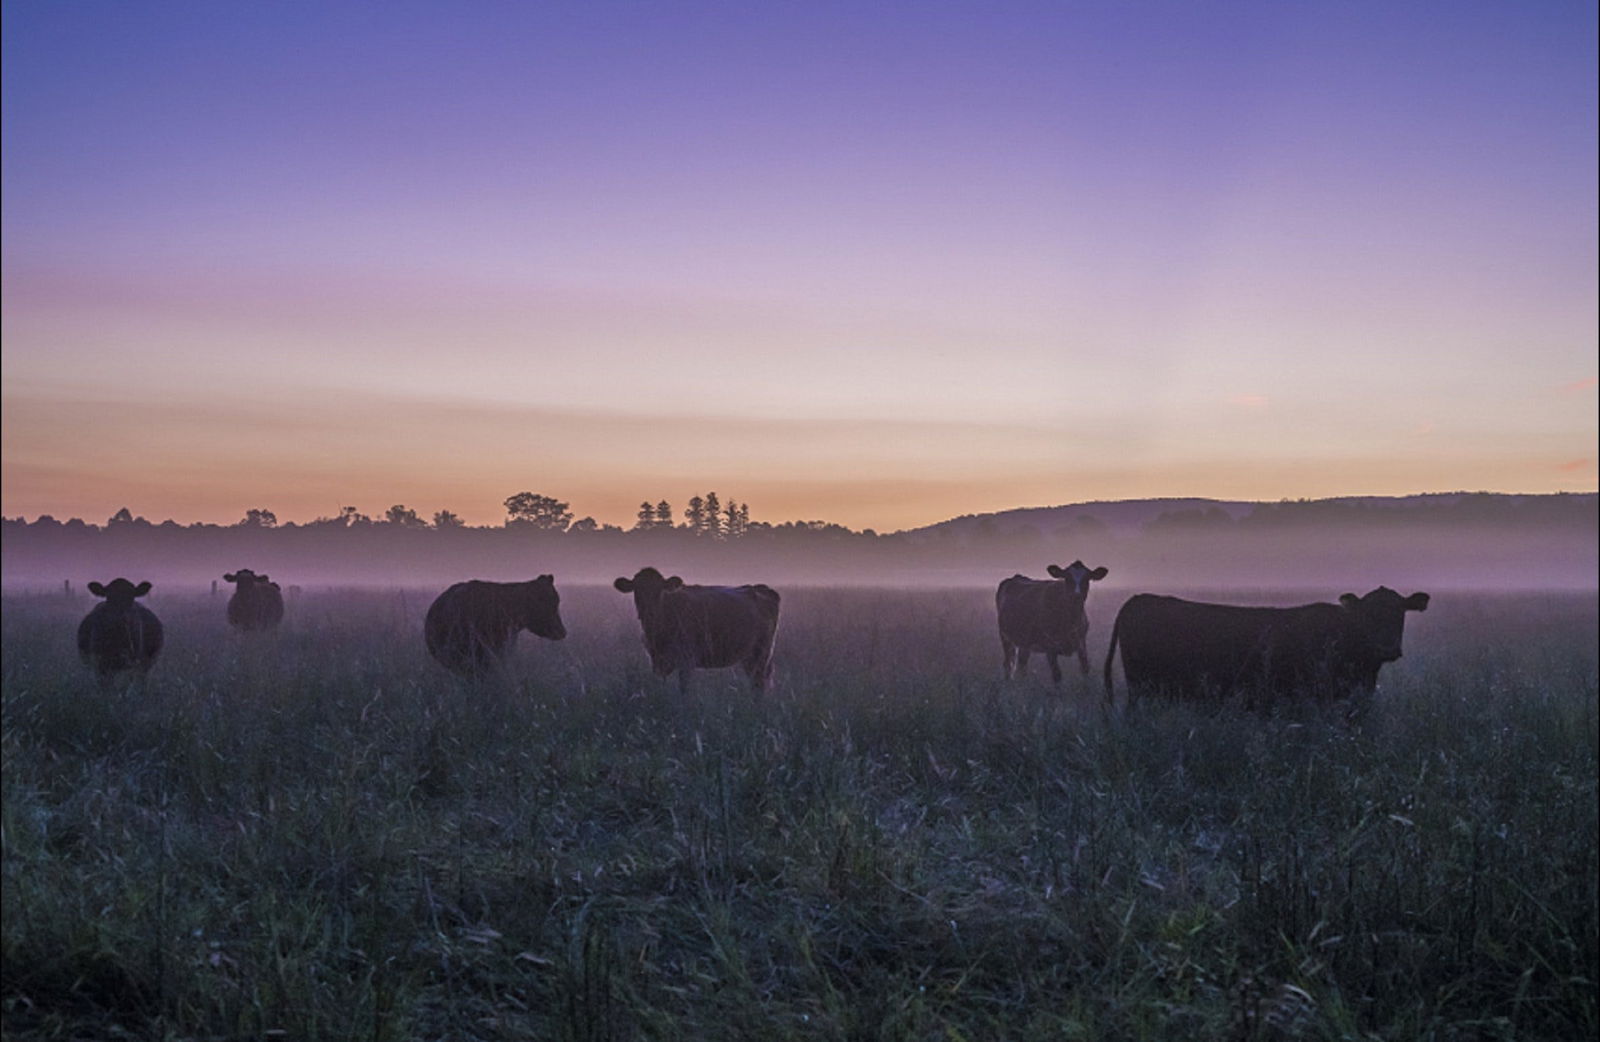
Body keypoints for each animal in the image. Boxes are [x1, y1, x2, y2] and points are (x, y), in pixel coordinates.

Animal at [611, 563, 780, 691]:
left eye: (659, 591)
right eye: (637, 591)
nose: (648, 611)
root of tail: (761, 588)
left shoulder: (687, 660)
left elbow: (684, 689)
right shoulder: (657, 660)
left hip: (761, 653)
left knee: (759, 684)